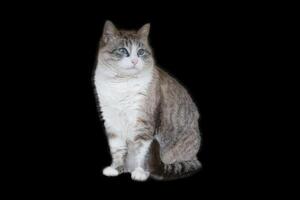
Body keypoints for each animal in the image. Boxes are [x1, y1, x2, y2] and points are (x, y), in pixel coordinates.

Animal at [94, 20, 202, 181]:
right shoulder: (112, 121)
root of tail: (195, 157)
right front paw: (116, 169)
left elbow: (141, 151)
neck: (122, 84)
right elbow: (117, 150)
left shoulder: (144, 123)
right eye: (123, 51)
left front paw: (139, 172)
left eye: (140, 52)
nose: (134, 60)